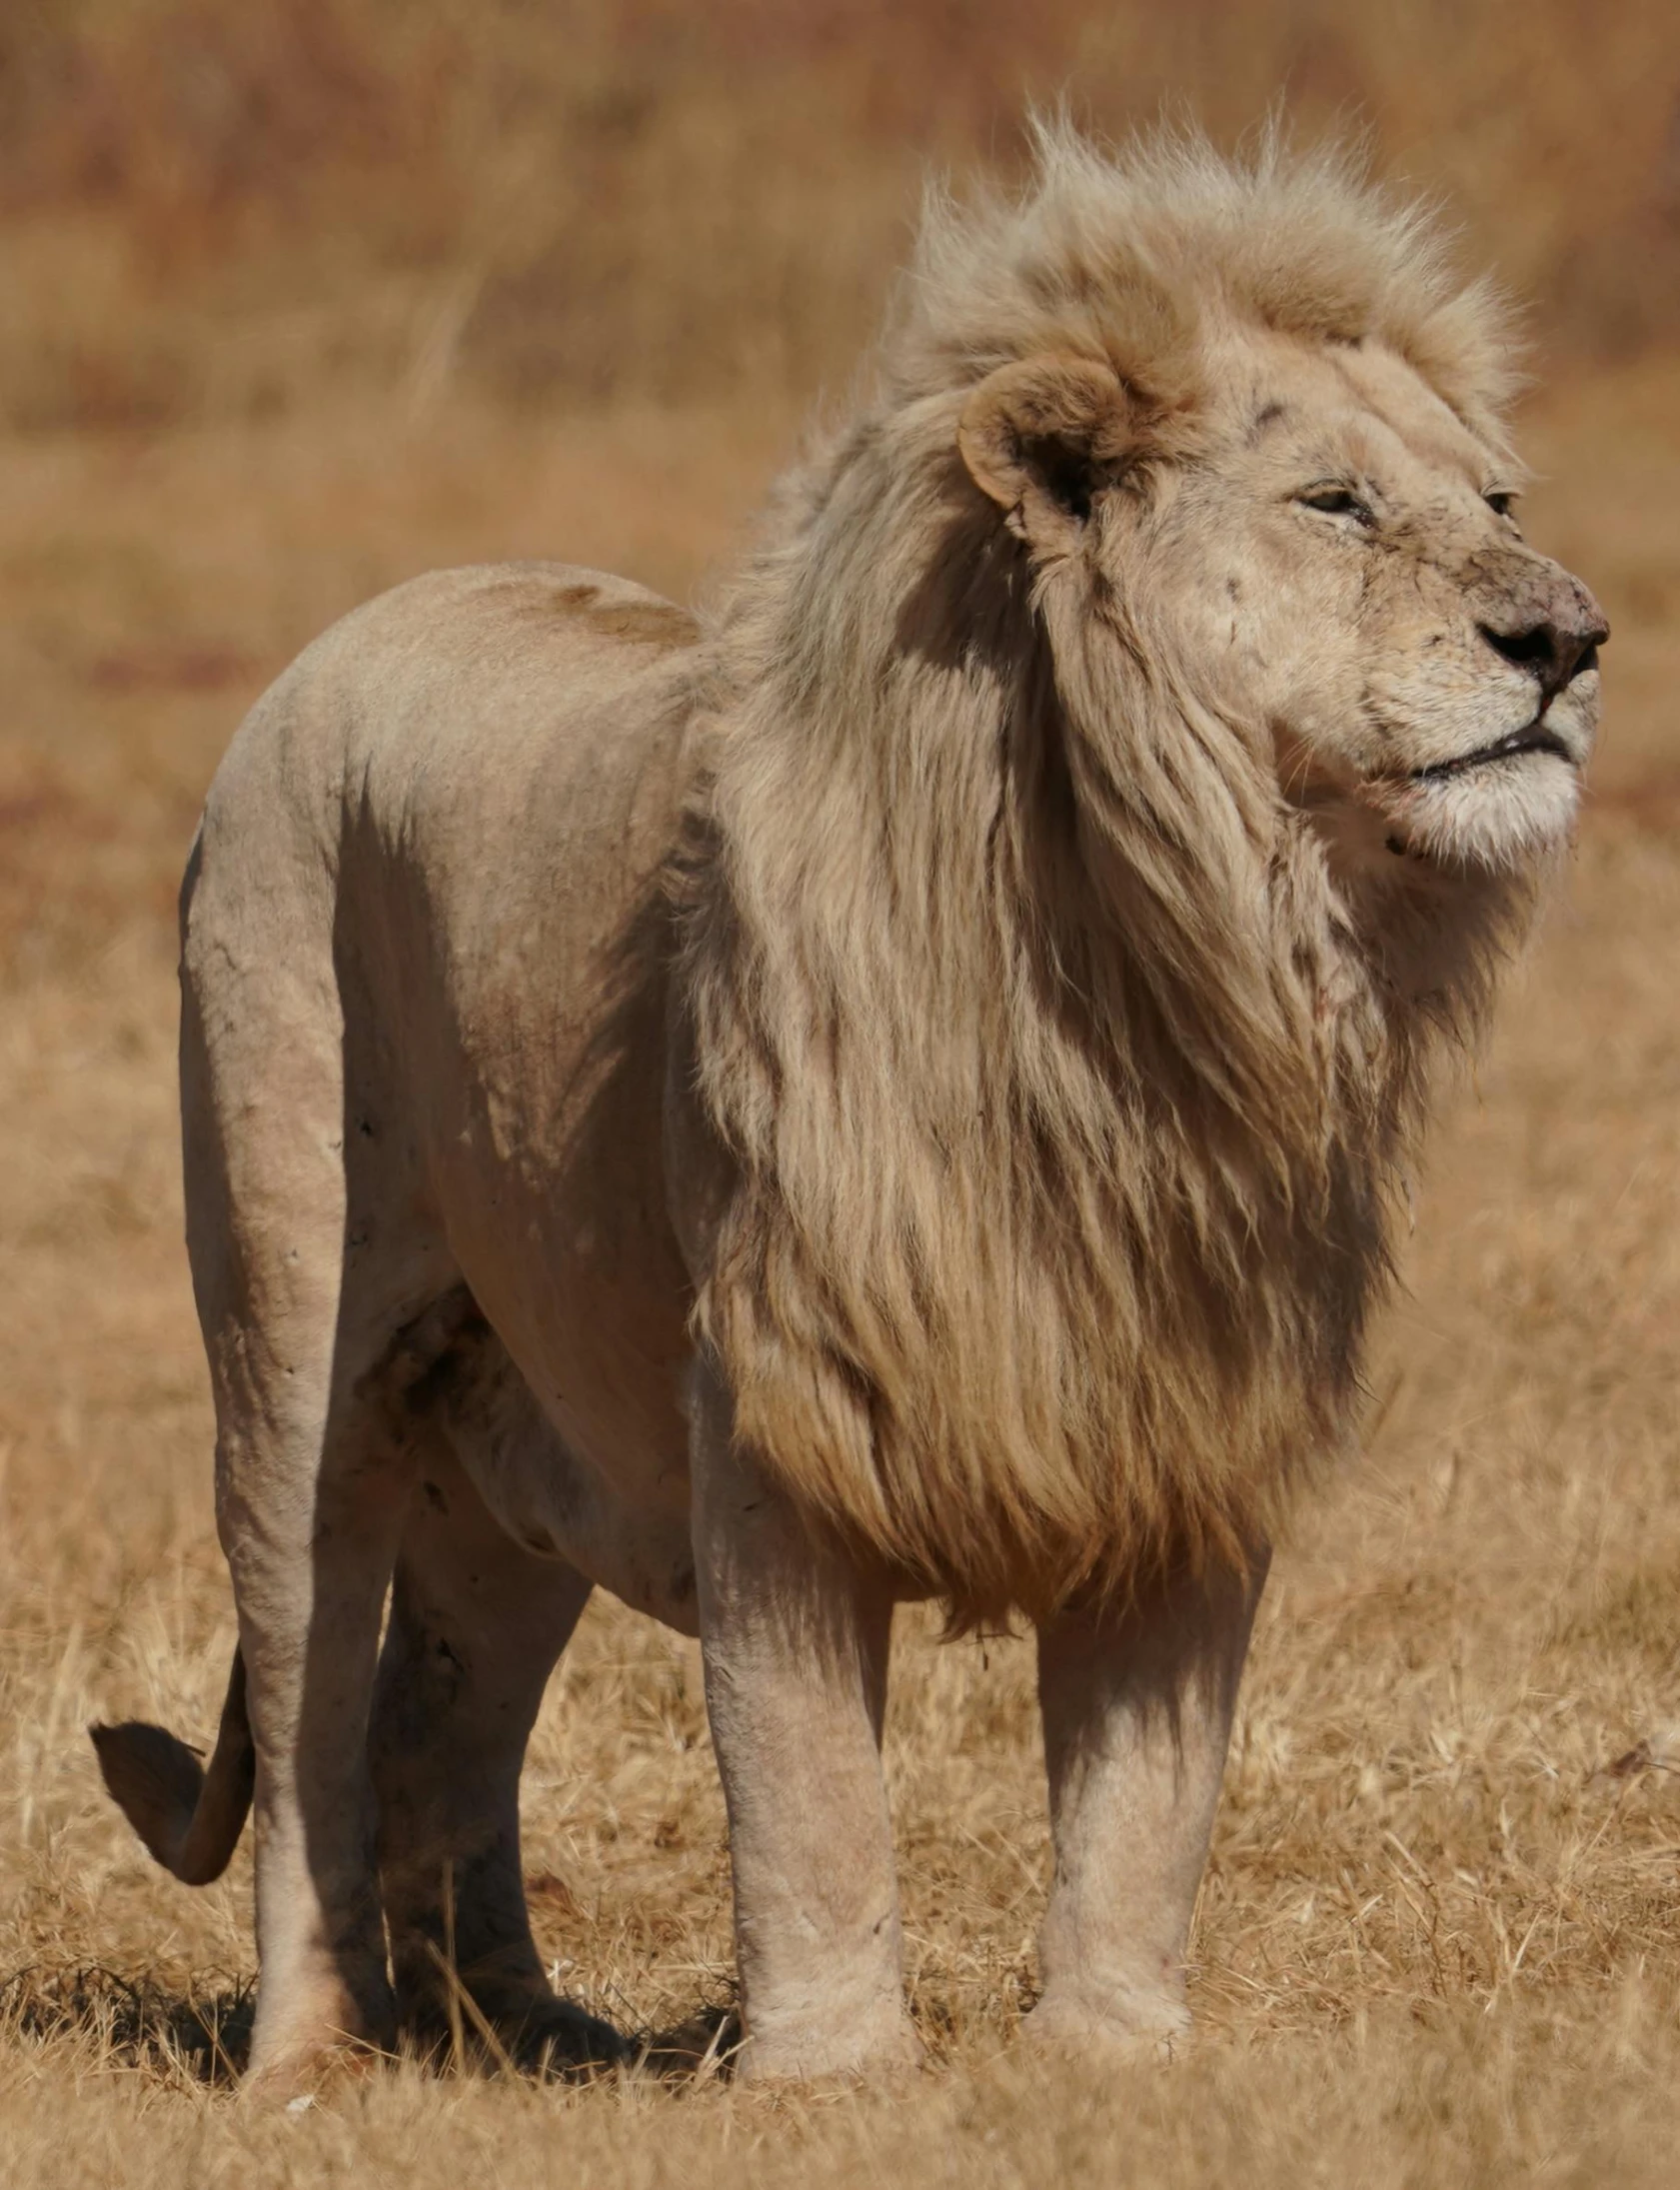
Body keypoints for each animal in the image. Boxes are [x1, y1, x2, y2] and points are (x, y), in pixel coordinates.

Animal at [88, 128, 1603, 2093]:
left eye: (1496, 495)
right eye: (1335, 503)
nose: (1568, 636)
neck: (1150, 978)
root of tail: (357, 628)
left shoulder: (1177, 1407)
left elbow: (1148, 1791)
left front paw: (1112, 2054)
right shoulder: (774, 1404)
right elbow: (804, 1781)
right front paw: (834, 2074)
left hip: (517, 1435)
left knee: (442, 1720)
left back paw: (521, 2028)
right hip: (292, 1369)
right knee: (306, 1722)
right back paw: (311, 2060)